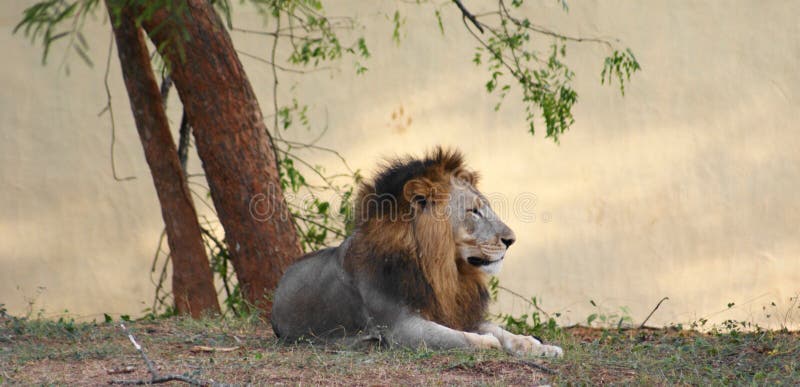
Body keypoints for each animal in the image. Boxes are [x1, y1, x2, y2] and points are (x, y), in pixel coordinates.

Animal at [268, 148, 564, 358]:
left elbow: (500, 330)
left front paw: (538, 345)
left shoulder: (455, 312)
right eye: (473, 211)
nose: (511, 240)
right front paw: (488, 343)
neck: (441, 269)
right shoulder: (400, 328)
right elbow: (459, 338)